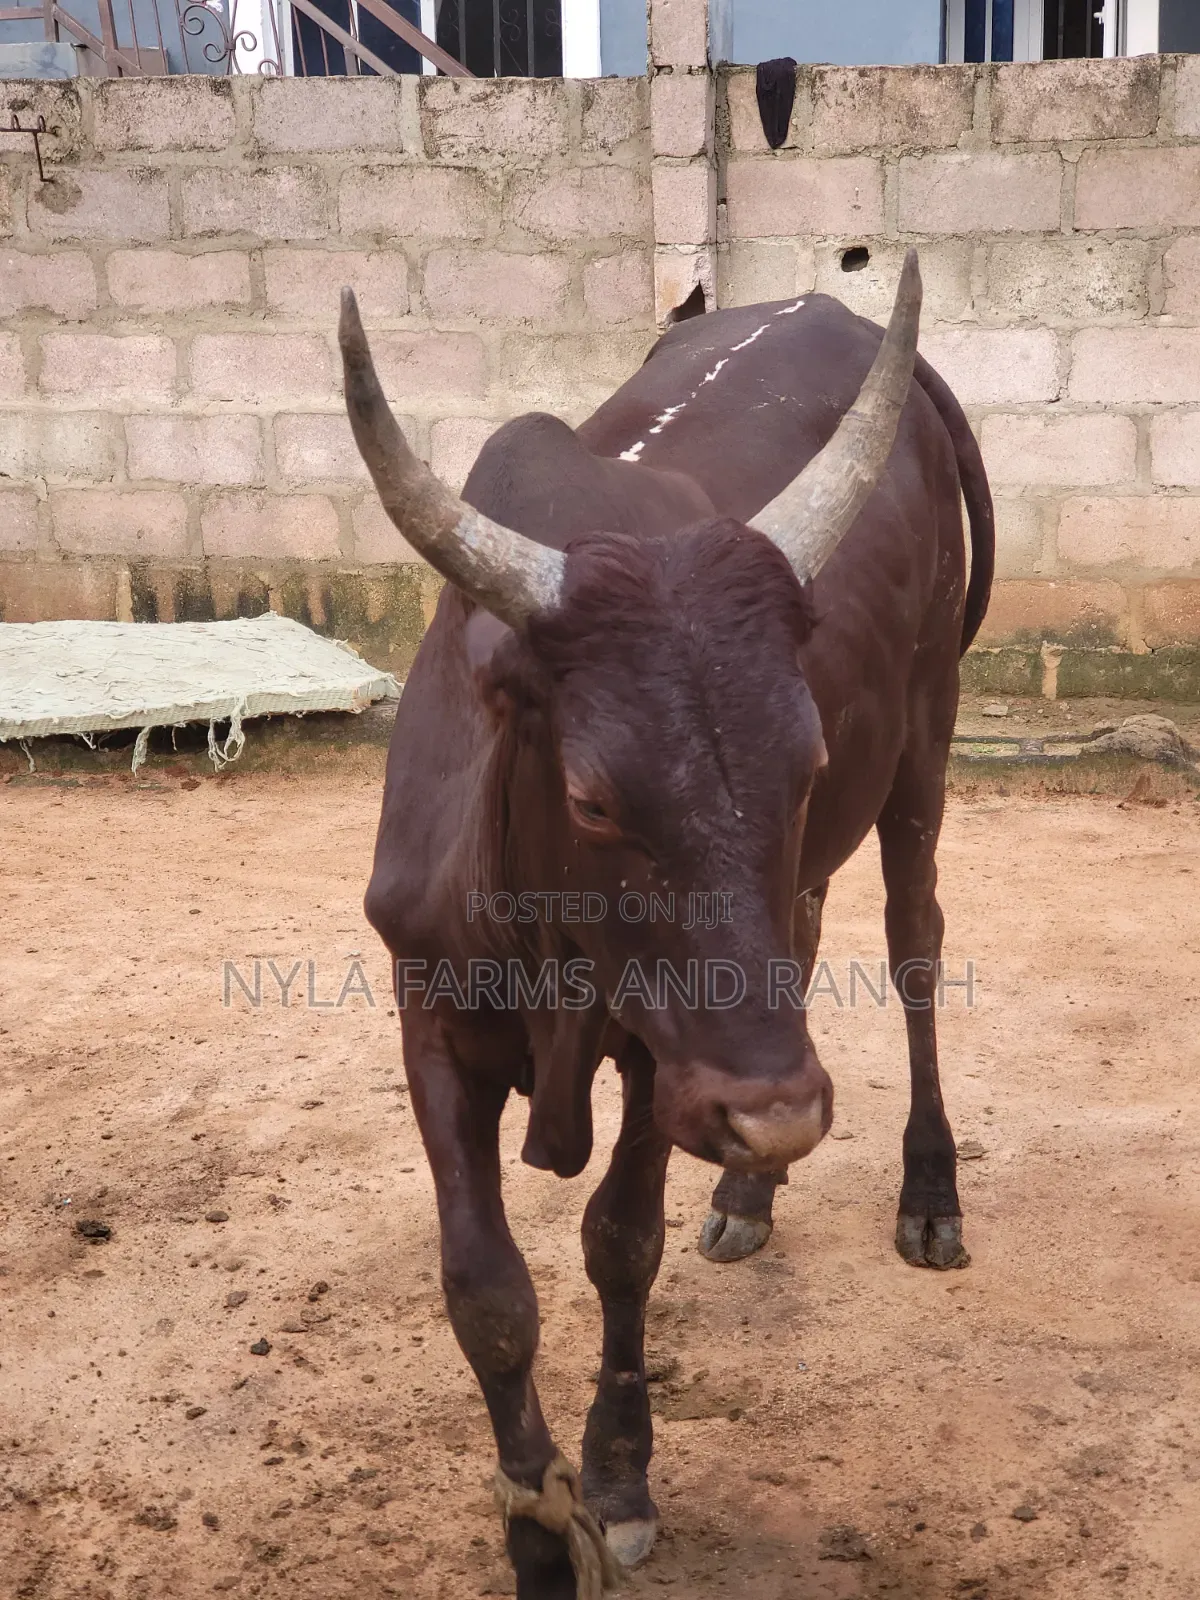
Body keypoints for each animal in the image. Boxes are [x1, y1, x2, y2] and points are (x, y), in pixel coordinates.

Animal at [341, 249, 994, 1600]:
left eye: (805, 758)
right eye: (594, 795)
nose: (780, 1112)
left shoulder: (660, 1052)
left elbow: (618, 1239)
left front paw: (617, 1481)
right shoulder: (428, 1017)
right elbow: (486, 1288)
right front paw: (536, 1532)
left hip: (924, 737)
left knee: (915, 939)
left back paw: (926, 1191)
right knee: (807, 925)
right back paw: (750, 1193)